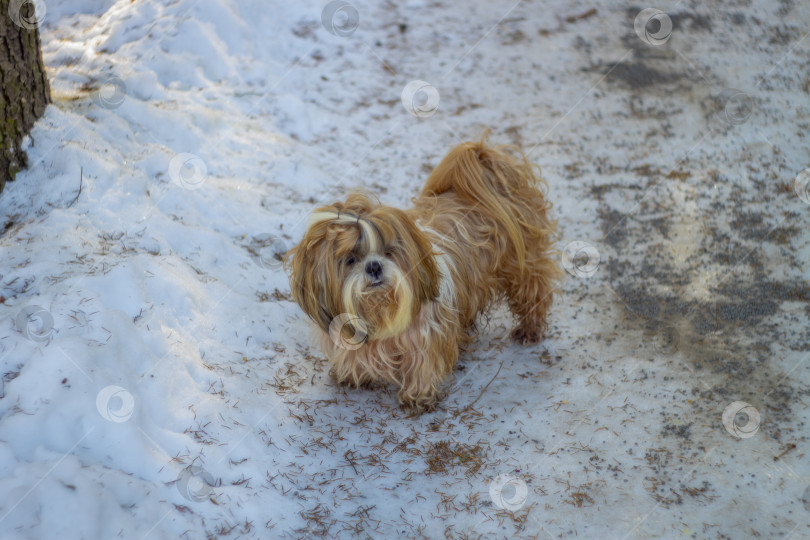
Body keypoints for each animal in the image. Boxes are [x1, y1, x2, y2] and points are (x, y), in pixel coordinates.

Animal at [288, 139, 560, 414]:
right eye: (351, 259)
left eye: (389, 252)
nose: (374, 266)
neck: (380, 310)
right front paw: (354, 375)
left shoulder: (428, 335)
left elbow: (424, 364)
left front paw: (418, 397)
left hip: (524, 265)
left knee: (535, 291)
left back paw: (529, 329)